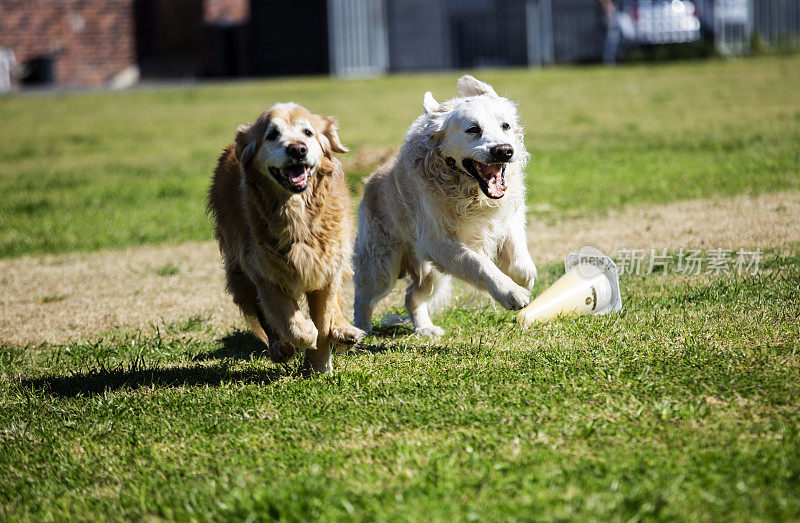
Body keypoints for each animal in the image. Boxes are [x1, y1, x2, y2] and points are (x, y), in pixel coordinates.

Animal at [209, 103, 366, 372]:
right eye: (272, 134)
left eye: (308, 132)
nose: (297, 149)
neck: (298, 217)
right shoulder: (264, 273)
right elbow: (292, 324)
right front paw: (304, 337)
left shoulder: (325, 267)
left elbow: (324, 321)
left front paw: (318, 366)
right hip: (239, 267)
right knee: (263, 312)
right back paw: (280, 347)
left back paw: (344, 331)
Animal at [352, 74, 536, 336]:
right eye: (473, 129)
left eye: (506, 126)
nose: (504, 150)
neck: (469, 192)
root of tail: (369, 181)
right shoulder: (438, 242)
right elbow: (479, 264)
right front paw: (510, 292)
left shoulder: (508, 216)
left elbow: (521, 260)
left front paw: (522, 280)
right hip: (382, 264)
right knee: (363, 297)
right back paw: (359, 332)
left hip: (432, 274)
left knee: (411, 296)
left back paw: (425, 329)